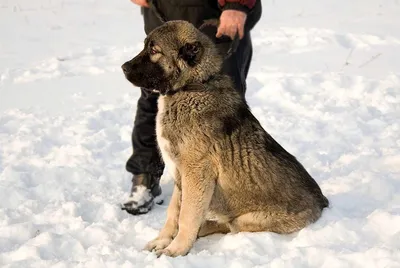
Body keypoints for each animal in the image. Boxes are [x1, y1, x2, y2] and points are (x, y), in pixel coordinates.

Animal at [122, 20, 328, 258]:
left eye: (154, 51)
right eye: (145, 46)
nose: (123, 67)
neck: (191, 86)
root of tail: (322, 202)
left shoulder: (196, 173)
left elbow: (186, 217)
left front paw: (176, 249)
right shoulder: (181, 176)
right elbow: (174, 213)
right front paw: (162, 240)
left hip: (248, 219)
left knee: (229, 225)